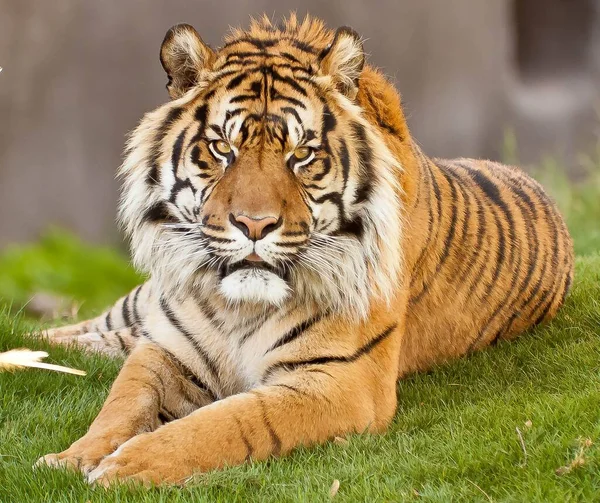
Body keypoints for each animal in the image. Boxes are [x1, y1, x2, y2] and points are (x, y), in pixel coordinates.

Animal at [35, 14, 576, 488]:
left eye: (301, 155)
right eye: (222, 149)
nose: (254, 224)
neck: (237, 306)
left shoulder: (340, 380)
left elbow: (226, 422)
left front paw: (129, 465)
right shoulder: (165, 347)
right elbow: (121, 402)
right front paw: (70, 459)